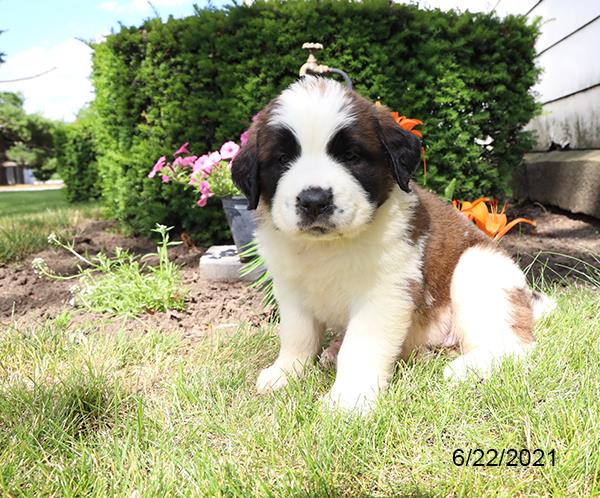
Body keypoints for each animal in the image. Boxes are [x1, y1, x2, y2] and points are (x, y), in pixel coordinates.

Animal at [231, 77, 552, 412]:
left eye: (352, 157)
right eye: (282, 159)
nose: (314, 200)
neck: (328, 247)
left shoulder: (385, 291)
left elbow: (360, 345)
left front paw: (348, 398)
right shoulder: (291, 289)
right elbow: (297, 336)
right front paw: (285, 372)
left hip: (478, 267)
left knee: (515, 342)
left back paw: (466, 367)